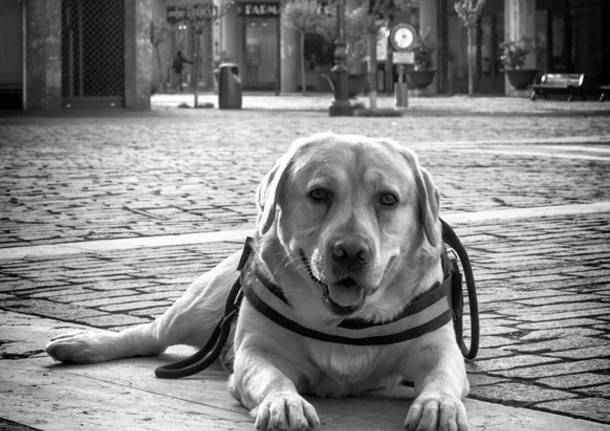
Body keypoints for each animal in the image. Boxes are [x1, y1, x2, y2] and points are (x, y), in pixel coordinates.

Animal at [46, 133, 466, 430]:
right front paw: (285, 404)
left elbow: (443, 376)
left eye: (388, 199)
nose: (350, 252)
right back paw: (82, 344)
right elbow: (273, 378)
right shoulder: (256, 351)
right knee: (149, 334)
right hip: (201, 308)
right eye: (319, 194)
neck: (344, 325)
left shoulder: (438, 350)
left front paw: (438, 405)